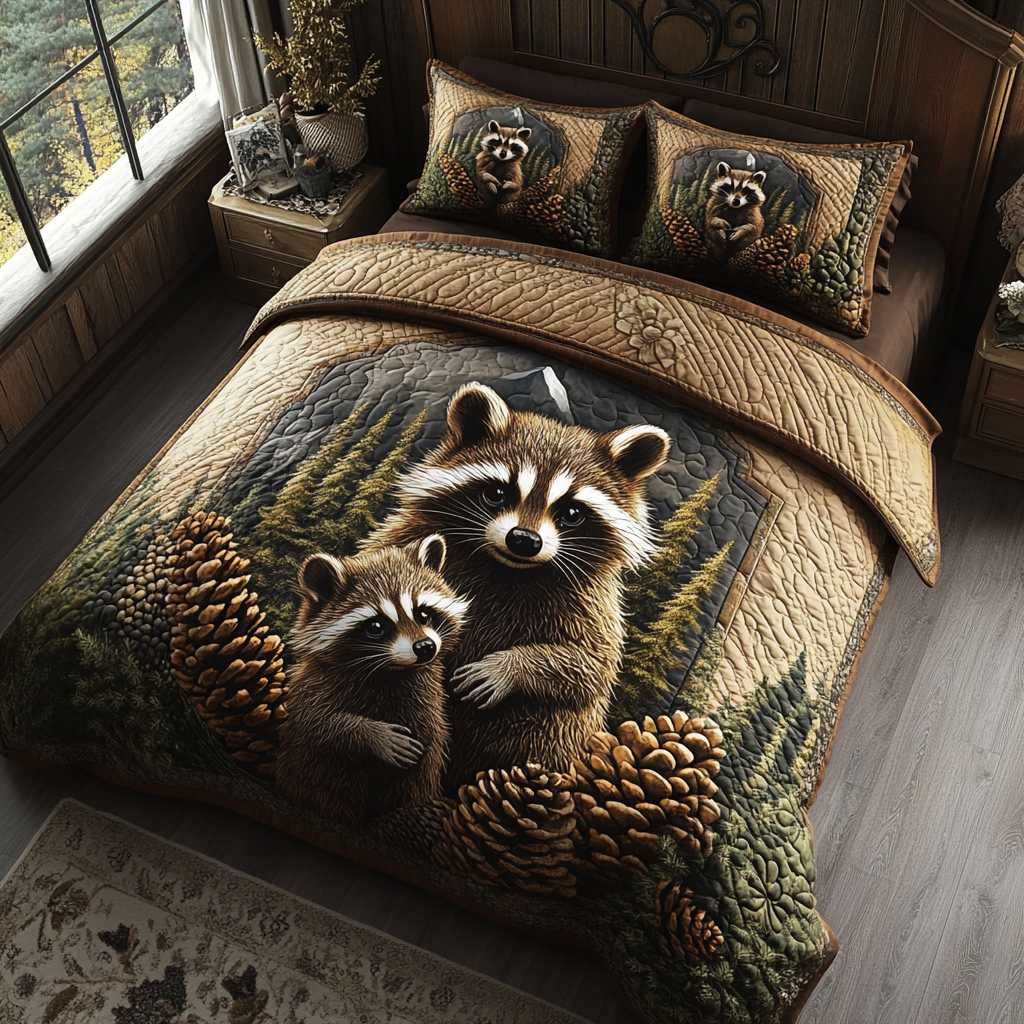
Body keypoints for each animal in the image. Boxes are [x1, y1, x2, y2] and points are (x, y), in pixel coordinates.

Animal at [275, 535, 469, 826]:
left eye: (423, 614)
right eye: (376, 626)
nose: (425, 647)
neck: (391, 672)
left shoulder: (427, 705)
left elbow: (428, 743)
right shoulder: (312, 687)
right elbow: (318, 723)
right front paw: (373, 734)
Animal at [366, 383, 670, 789]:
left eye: (571, 513)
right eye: (497, 493)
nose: (524, 540)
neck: (508, 568)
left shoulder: (592, 601)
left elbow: (590, 664)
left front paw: (510, 666)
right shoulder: (405, 540)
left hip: (548, 735)